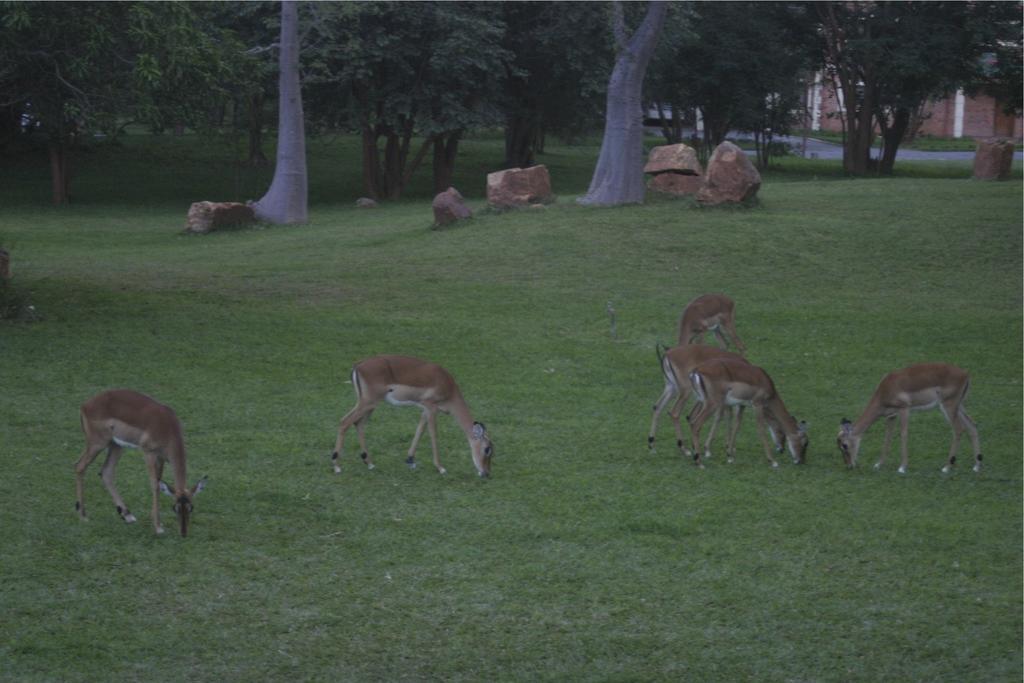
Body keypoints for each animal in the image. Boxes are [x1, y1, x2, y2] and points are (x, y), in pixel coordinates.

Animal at [74, 393, 207, 536]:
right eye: (175, 507)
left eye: (191, 507)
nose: (183, 533)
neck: (168, 427)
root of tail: (86, 405)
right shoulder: (149, 453)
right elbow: (155, 485)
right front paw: (158, 527)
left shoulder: (161, 458)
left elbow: (159, 482)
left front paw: (155, 519)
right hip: (98, 444)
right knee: (79, 466)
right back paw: (83, 516)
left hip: (116, 445)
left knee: (106, 472)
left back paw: (127, 515)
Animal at [333, 356, 493, 479]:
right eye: (487, 449)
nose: (486, 473)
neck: (449, 388)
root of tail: (358, 366)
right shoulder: (431, 407)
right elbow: (433, 434)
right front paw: (441, 467)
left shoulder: (424, 410)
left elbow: (420, 430)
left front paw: (410, 460)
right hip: (368, 403)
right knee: (344, 422)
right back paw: (336, 465)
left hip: (369, 405)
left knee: (358, 424)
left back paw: (369, 463)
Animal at [647, 348, 782, 458]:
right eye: (780, 430)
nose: (781, 448)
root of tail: (667, 354)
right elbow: (725, 417)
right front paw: (723, 448)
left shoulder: (724, 402)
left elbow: (726, 417)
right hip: (686, 392)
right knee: (675, 413)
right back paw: (685, 449)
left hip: (672, 388)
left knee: (657, 407)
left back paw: (652, 445)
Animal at [835, 362, 978, 475]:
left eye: (845, 445)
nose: (849, 466)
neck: (885, 391)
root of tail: (966, 374)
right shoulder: (891, 416)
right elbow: (887, 437)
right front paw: (879, 464)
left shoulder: (904, 409)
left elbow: (903, 434)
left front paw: (902, 467)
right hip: (959, 406)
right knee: (972, 426)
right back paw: (976, 466)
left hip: (948, 406)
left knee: (958, 429)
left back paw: (946, 467)